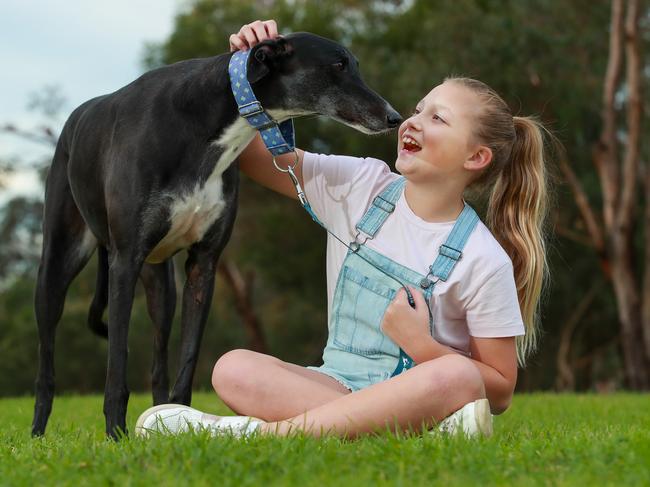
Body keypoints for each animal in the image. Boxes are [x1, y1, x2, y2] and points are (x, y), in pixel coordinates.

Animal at [34, 32, 400, 440]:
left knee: (158, 360)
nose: (394, 117)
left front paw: (178, 419)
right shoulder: (125, 261)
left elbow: (188, 357)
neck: (205, 117)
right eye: (338, 65)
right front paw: (115, 434)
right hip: (58, 266)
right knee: (46, 362)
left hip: (161, 285)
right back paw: (37, 432)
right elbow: (117, 361)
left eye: (355, 65)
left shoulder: (203, 264)